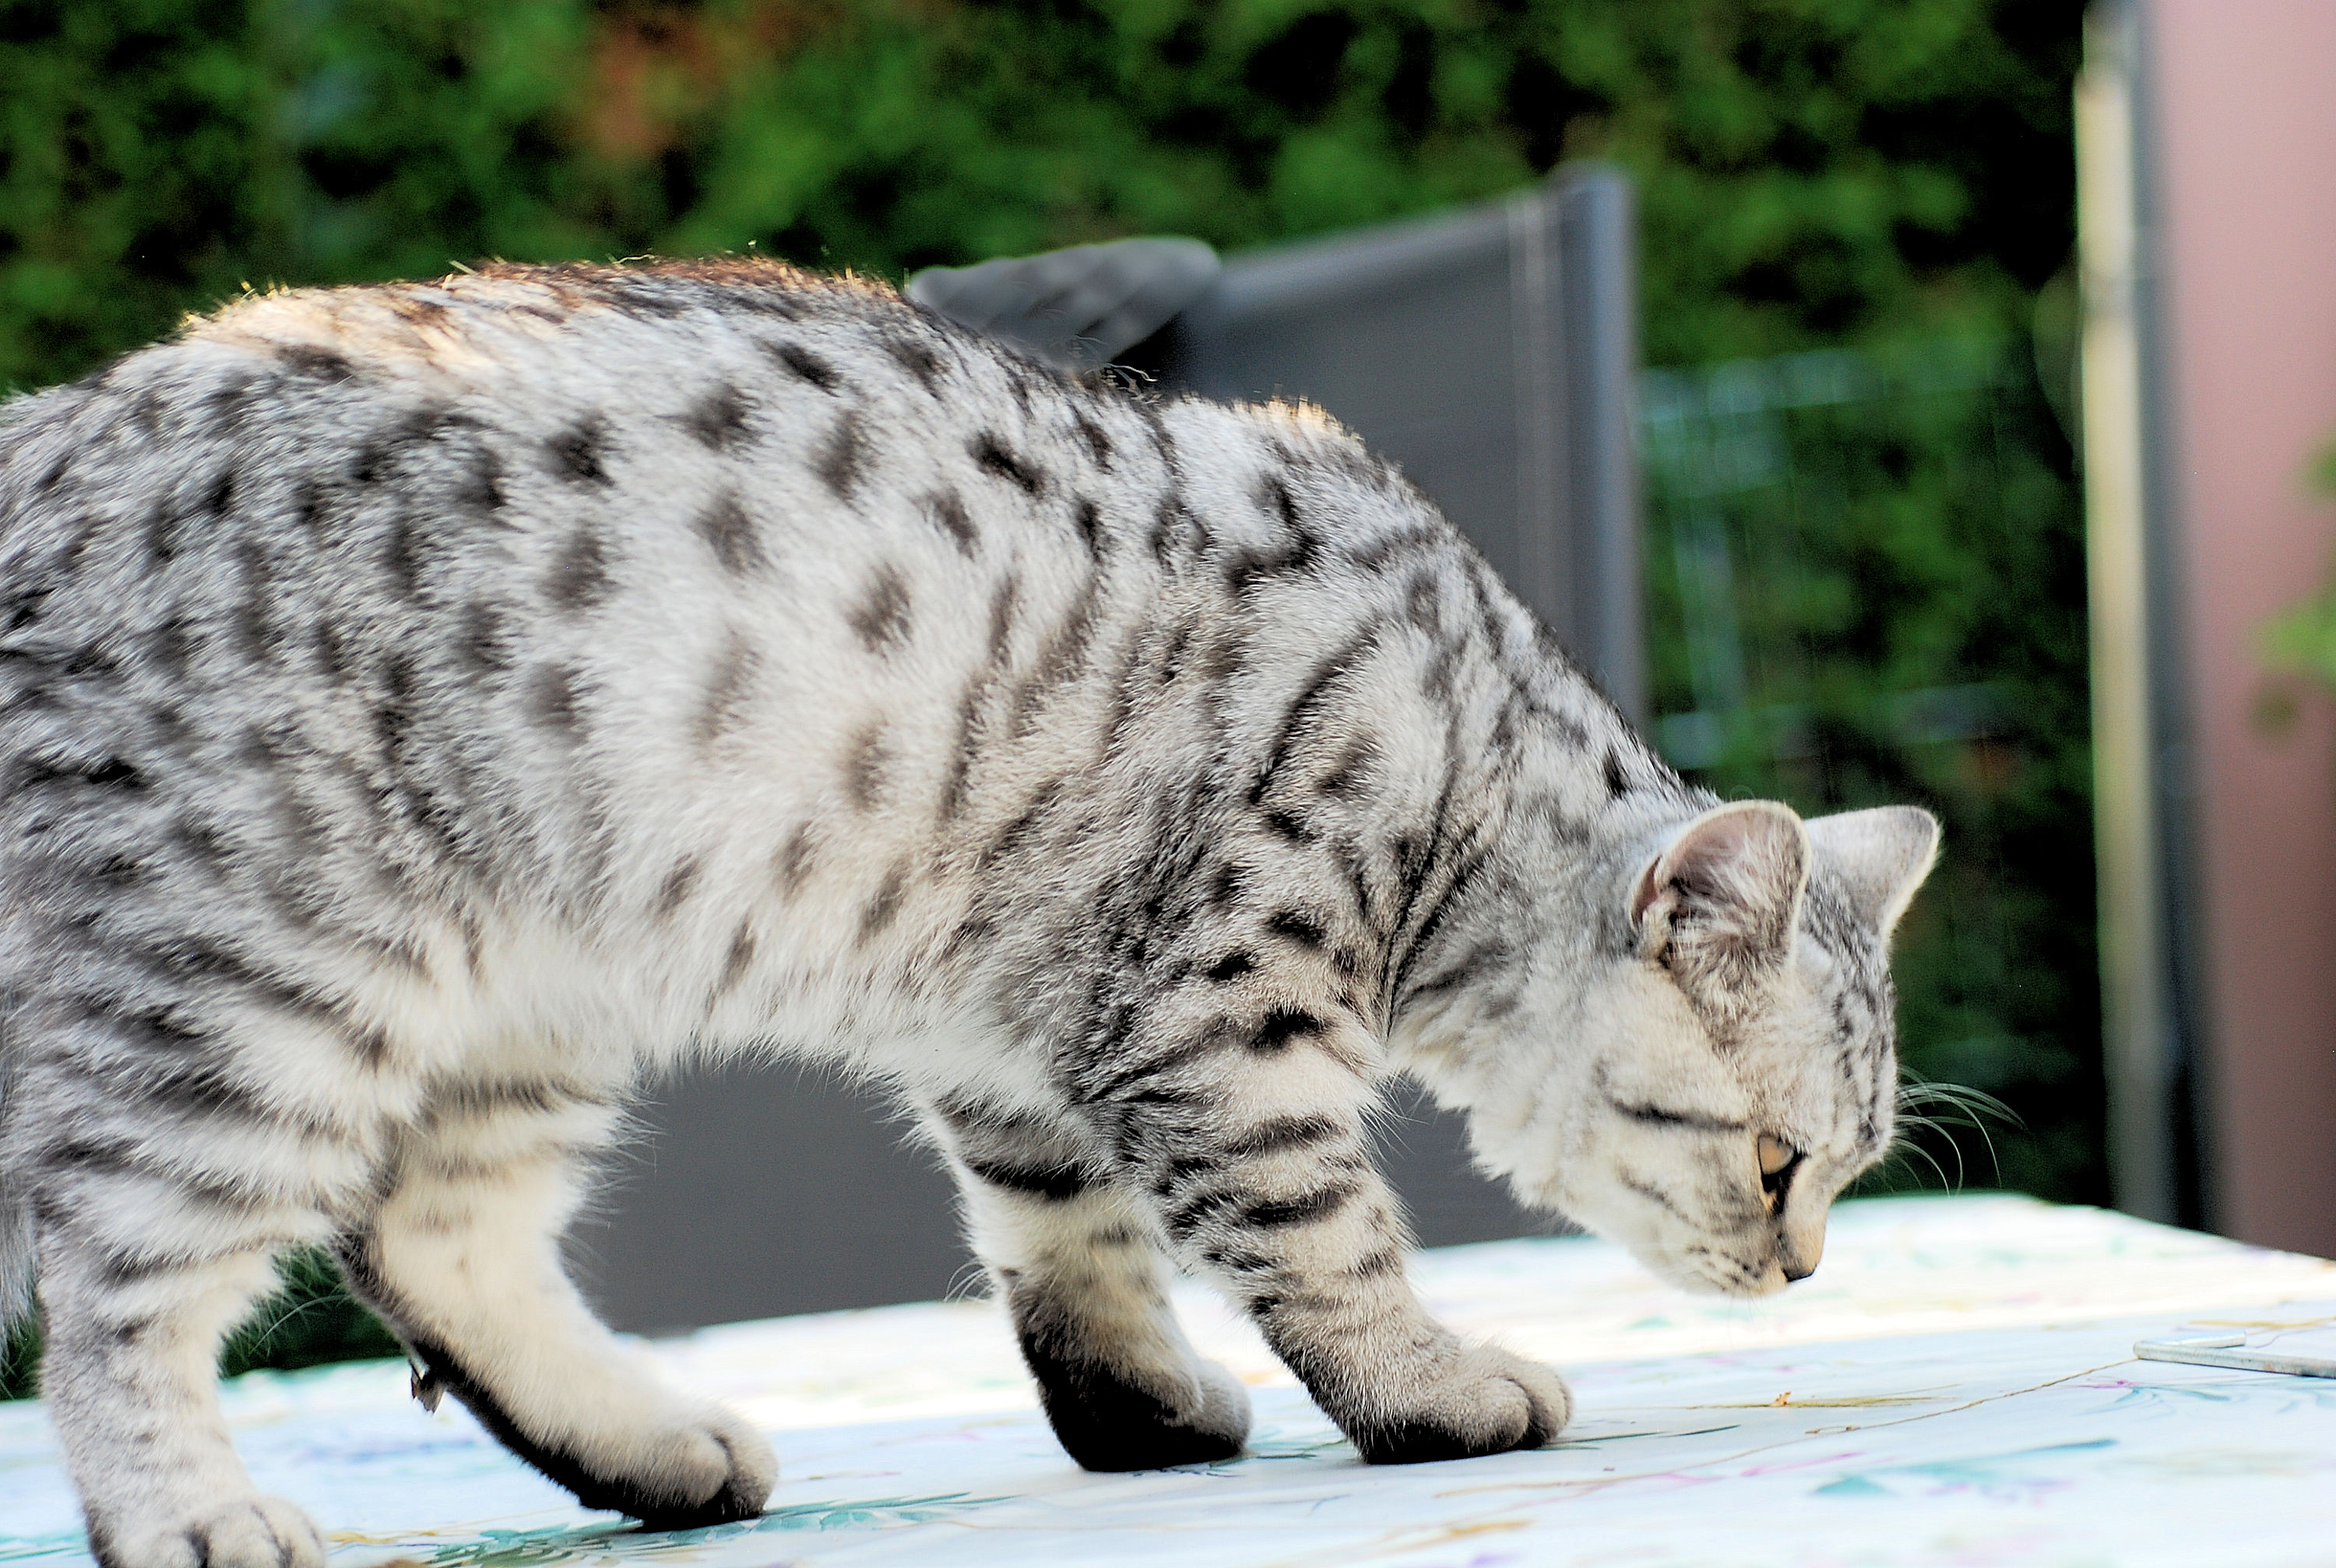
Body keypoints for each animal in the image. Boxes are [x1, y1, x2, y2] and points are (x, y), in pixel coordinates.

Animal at [0, 264, 1934, 1560]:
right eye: (1778, 1162)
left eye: (1843, 1171)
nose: (1799, 1269)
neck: (1461, 755)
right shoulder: (1221, 1022)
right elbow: (1327, 1237)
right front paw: (1432, 1385)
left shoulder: (1020, 1032)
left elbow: (1071, 1246)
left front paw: (1140, 1411)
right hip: (262, 994)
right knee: (111, 1287)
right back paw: (190, 1510)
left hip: (529, 1004)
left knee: (427, 1241)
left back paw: (656, 1450)